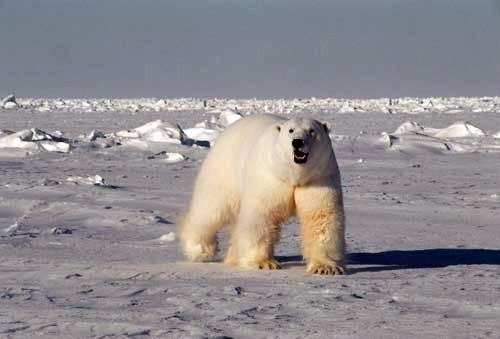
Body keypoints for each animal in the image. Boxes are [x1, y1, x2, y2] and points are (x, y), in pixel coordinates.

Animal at [178, 114, 346, 276]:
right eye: (290, 130)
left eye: (312, 131)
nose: (297, 142)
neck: (292, 175)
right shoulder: (269, 177)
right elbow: (261, 216)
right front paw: (263, 263)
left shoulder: (319, 177)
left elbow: (321, 216)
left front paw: (325, 267)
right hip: (223, 169)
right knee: (210, 209)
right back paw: (200, 249)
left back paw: (234, 257)